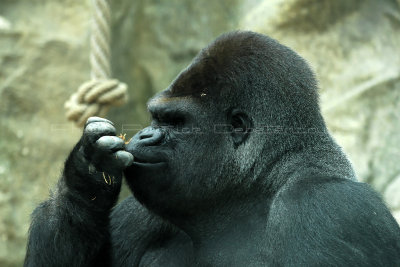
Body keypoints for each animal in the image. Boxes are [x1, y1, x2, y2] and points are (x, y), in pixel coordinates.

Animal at [25, 30, 400, 266]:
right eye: (155, 116)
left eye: (174, 122)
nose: (144, 135)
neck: (253, 191)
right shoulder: (144, 212)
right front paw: (87, 173)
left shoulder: (330, 208)